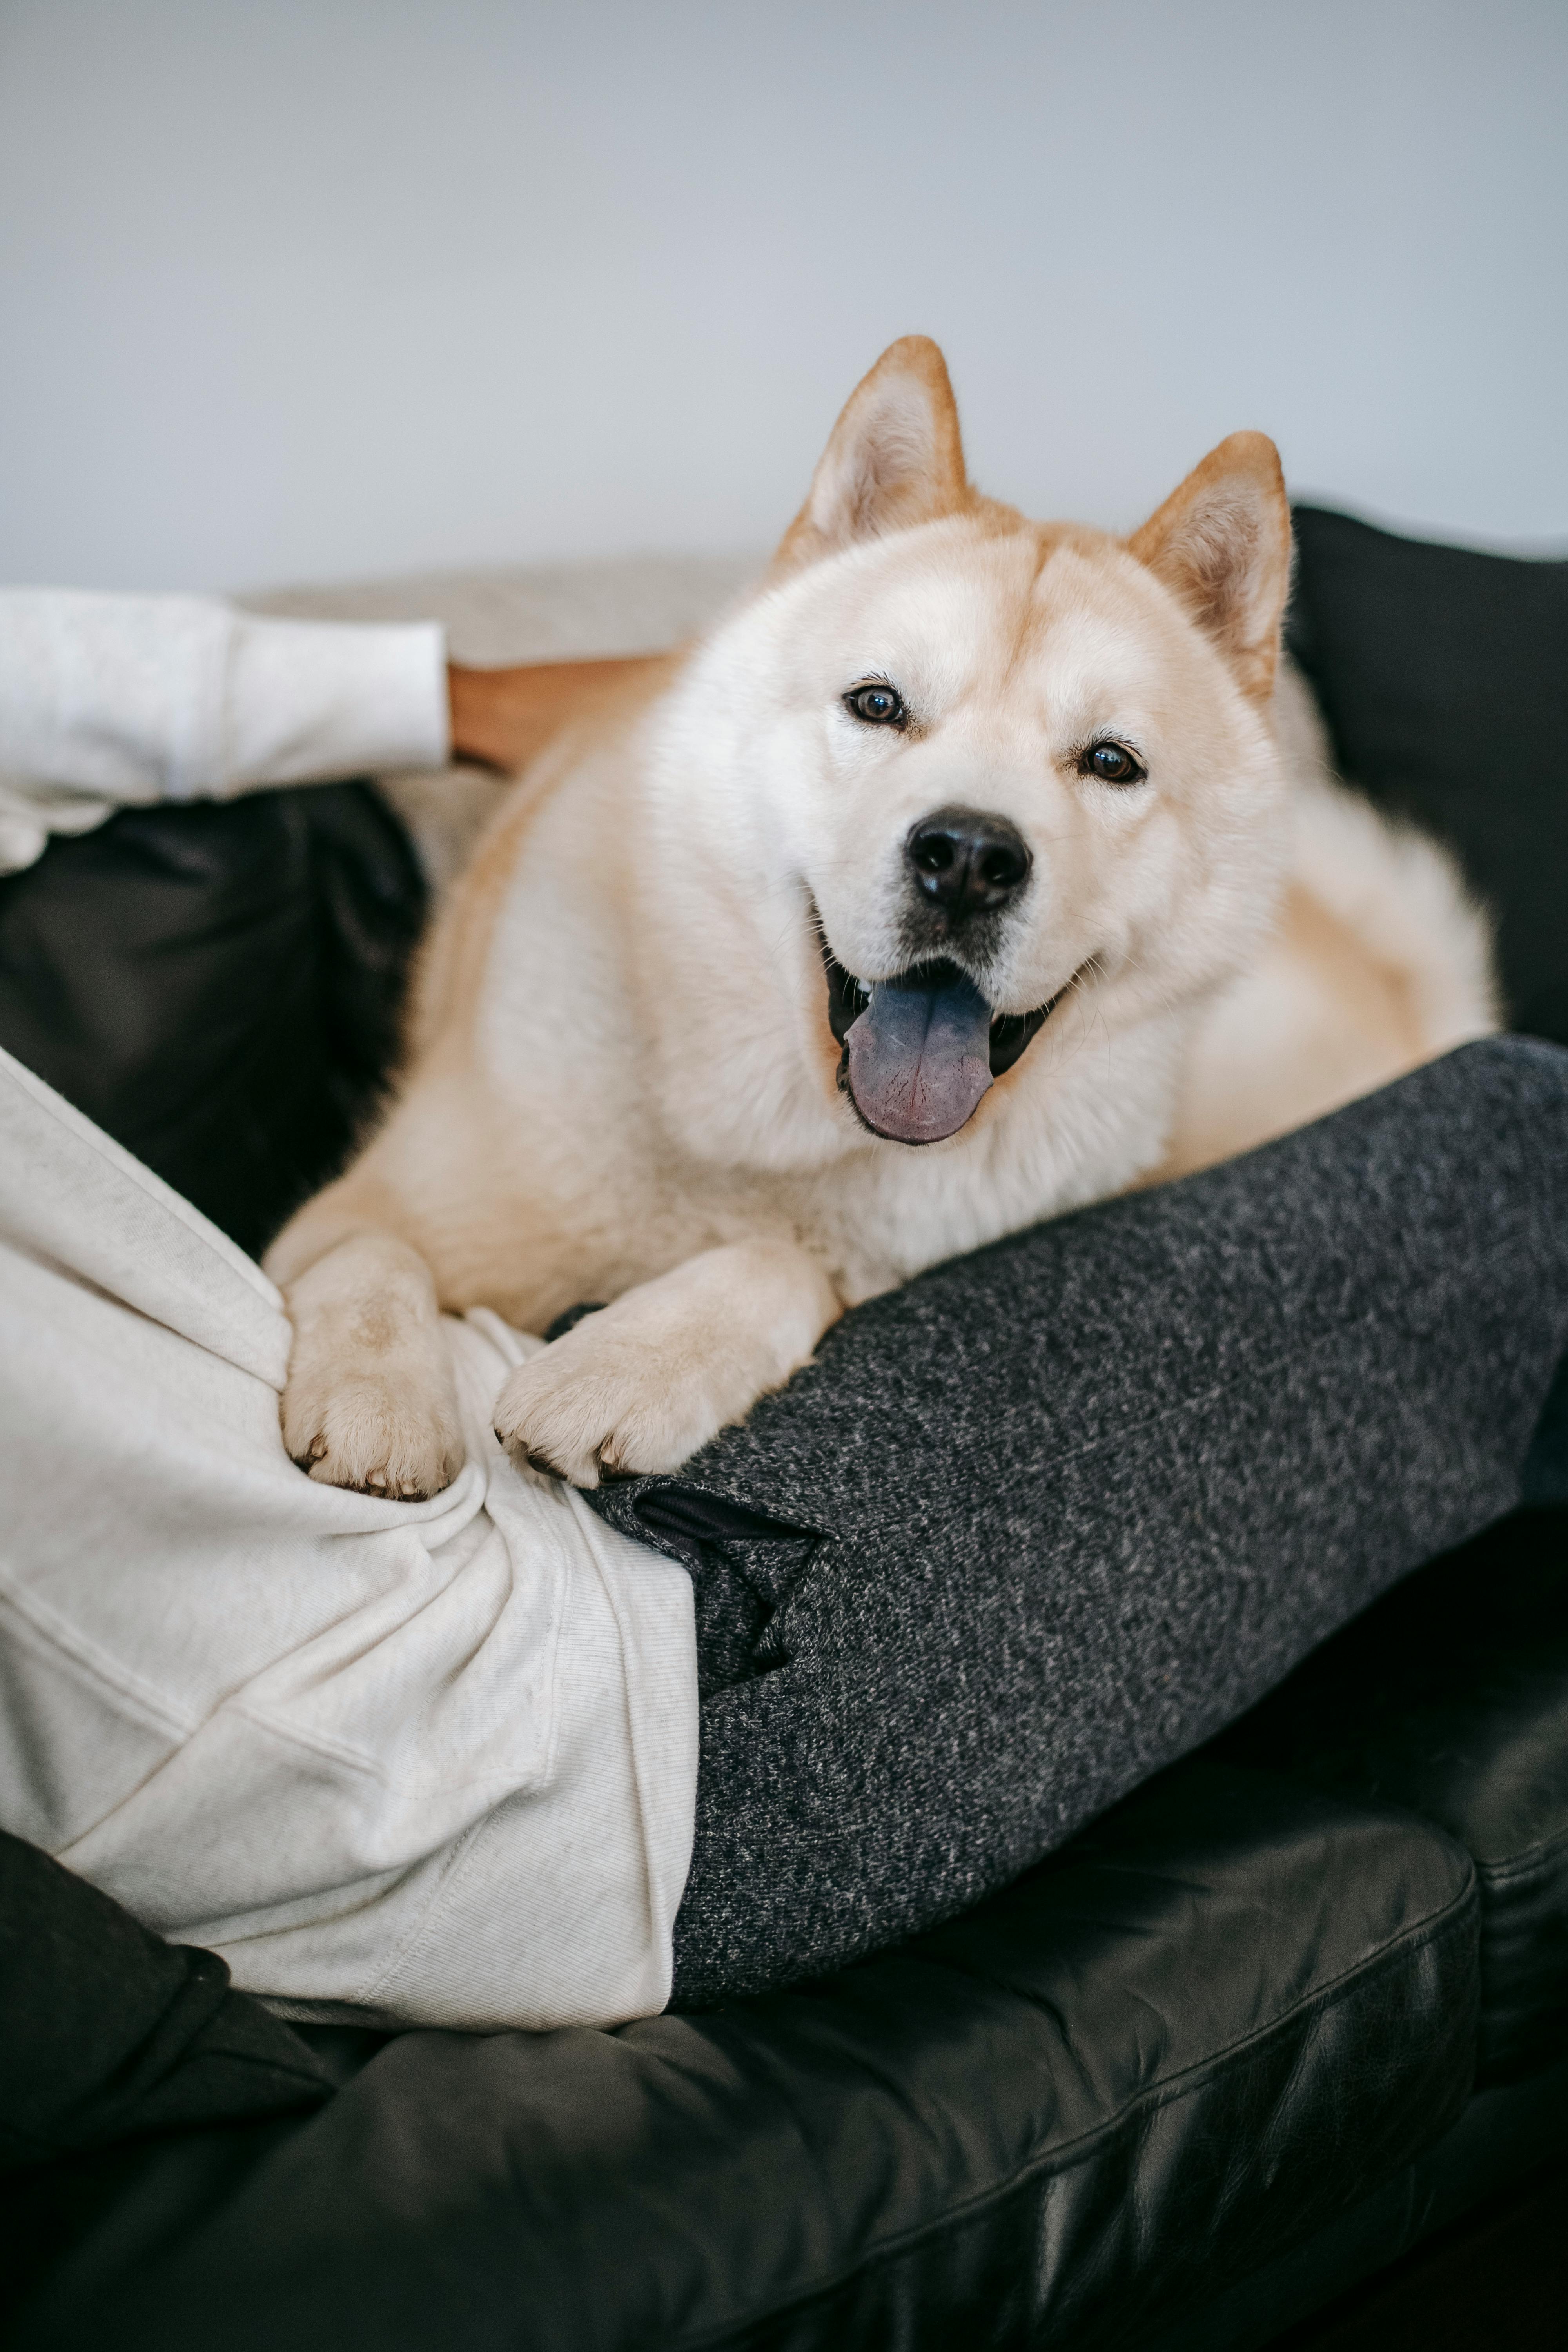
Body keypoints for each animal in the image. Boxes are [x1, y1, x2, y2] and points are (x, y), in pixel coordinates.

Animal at [267, 336, 1495, 1486]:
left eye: (1110, 763)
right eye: (878, 704)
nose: (970, 861)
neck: (774, 1126)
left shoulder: (871, 1267)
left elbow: (783, 1265)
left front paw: (625, 1365)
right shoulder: (356, 1211)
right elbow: (371, 1264)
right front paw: (380, 1399)